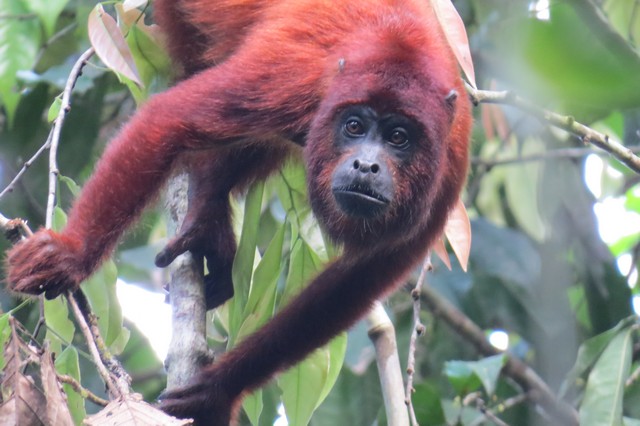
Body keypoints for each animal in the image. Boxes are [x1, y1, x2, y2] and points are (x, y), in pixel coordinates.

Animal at [5, 0, 470, 422]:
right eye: (354, 126)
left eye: (398, 137)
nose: (366, 165)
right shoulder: (290, 81)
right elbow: (169, 119)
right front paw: (72, 254)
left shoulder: (450, 165)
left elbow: (360, 278)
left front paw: (220, 390)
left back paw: (209, 218)